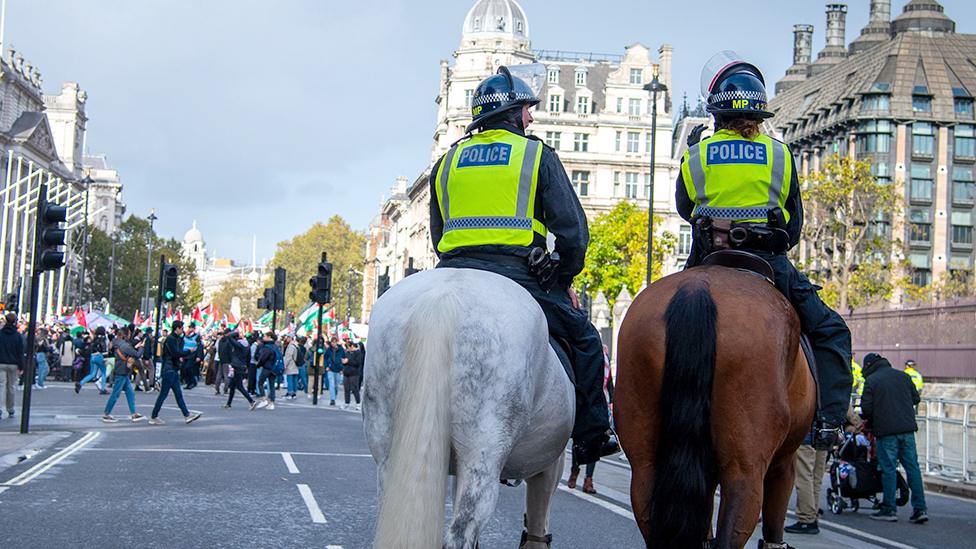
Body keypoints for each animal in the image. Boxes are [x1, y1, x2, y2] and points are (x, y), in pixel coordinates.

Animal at [364, 268, 576, 544]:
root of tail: (443, 296)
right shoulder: (550, 465)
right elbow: (538, 526)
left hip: (389, 453)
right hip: (483, 455)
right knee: (460, 532)